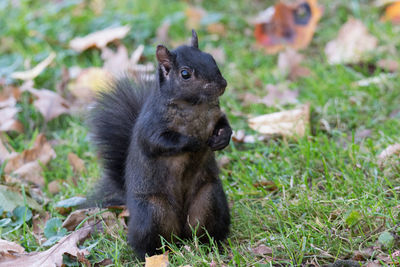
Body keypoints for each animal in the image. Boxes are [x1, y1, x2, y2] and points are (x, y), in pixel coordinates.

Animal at [87, 30, 231, 260]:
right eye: (185, 74)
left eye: (212, 58)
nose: (222, 84)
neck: (194, 106)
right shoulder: (152, 127)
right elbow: (161, 142)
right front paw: (195, 141)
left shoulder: (216, 115)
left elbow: (224, 125)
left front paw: (222, 138)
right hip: (152, 212)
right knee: (149, 241)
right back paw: (152, 254)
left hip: (209, 199)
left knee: (203, 229)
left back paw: (212, 245)